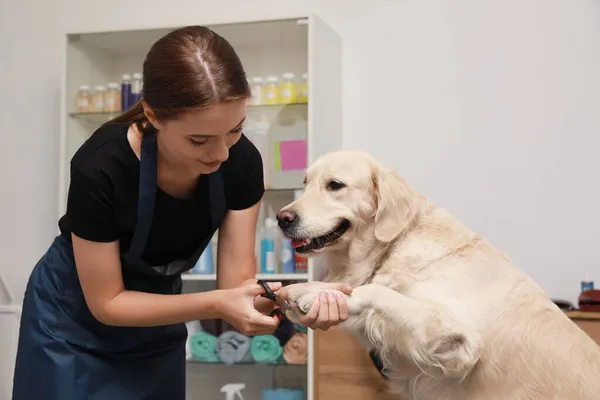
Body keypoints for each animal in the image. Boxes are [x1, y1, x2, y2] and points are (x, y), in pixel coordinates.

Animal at [278, 149, 600, 400]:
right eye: (305, 183)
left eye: (335, 185)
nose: (283, 218)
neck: (397, 243)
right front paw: (310, 289)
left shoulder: (458, 338)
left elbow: (376, 290)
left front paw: (311, 294)